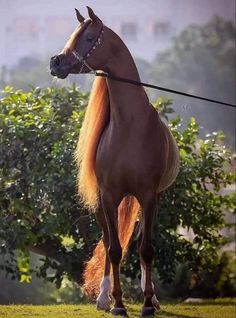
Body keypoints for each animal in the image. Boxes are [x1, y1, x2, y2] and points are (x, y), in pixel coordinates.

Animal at [49, 6, 179, 316]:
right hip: (102, 202)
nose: (55, 63)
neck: (129, 126)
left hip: (147, 201)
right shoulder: (108, 196)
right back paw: (104, 297)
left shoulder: (148, 196)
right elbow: (114, 249)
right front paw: (118, 304)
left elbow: (146, 249)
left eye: (89, 37)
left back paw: (149, 295)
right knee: (109, 238)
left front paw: (147, 303)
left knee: (141, 241)